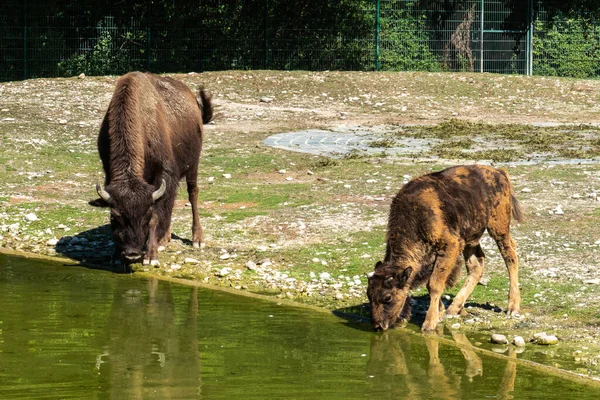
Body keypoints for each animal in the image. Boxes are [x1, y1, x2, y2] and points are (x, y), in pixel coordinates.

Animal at [88, 72, 212, 266]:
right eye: (114, 216)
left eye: (146, 215)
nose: (132, 254)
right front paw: (116, 255)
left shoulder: (163, 174)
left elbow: (157, 215)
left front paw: (151, 256)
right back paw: (165, 238)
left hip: (193, 165)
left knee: (193, 194)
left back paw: (197, 239)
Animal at [364, 165, 524, 332]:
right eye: (369, 295)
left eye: (388, 297)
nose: (377, 325)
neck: (415, 216)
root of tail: (499, 172)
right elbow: (432, 284)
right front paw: (440, 313)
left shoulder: (450, 245)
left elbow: (434, 284)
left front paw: (429, 323)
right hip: (470, 238)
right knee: (476, 266)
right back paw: (453, 309)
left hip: (498, 228)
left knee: (510, 255)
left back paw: (512, 307)